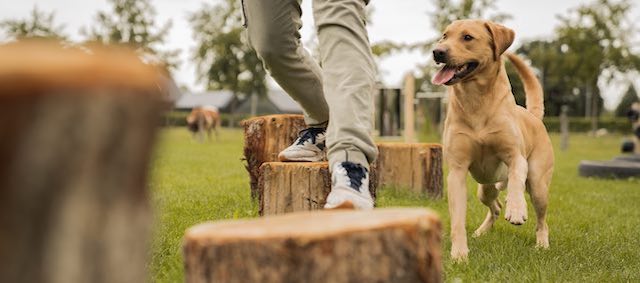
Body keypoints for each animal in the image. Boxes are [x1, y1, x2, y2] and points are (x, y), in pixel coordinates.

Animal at [436, 20, 556, 262]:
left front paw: (517, 209)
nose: (437, 51)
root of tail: (533, 116)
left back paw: (541, 243)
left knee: (541, 219)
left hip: (538, 184)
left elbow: (517, 179)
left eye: (467, 37)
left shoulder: (516, 156)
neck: (476, 101)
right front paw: (459, 254)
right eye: (444, 36)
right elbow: (457, 219)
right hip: (485, 188)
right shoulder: (457, 171)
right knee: (495, 206)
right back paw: (482, 231)